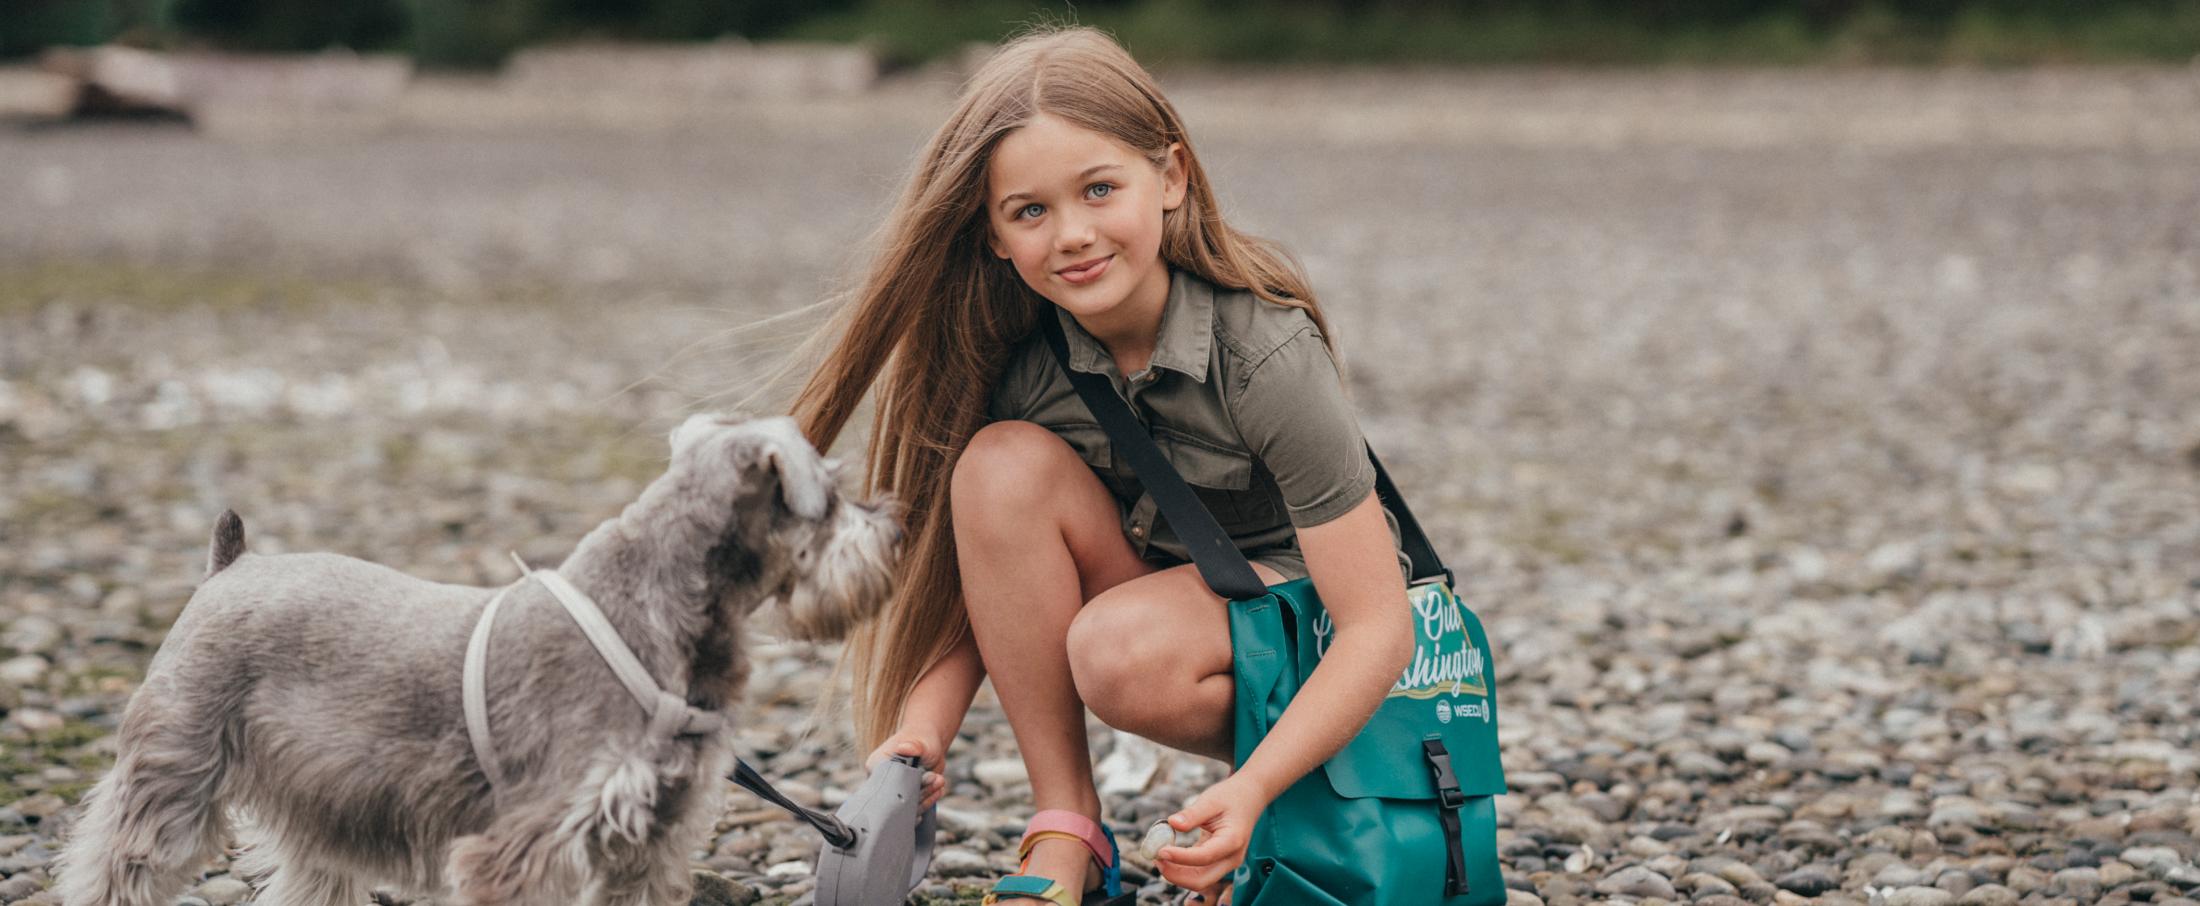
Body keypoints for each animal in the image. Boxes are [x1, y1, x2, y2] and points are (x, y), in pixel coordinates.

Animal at [58, 411, 902, 906]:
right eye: (830, 494)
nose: (895, 525)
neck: (659, 608)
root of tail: (228, 567)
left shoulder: (652, 837)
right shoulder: (524, 843)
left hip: (324, 801)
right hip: (175, 774)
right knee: (117, 866)